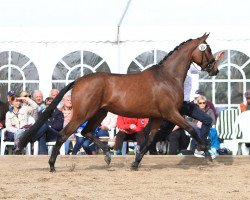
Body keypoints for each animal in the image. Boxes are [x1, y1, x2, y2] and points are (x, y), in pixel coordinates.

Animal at [16, 33, 219, 172]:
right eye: (208, 49)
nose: (215, 70)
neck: (167, 77)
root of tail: (79, 80)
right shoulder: (171, 113)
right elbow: (192, 129)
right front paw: (207, 154)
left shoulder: (157, 117)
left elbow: (149, 140)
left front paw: (135, 163)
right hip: (83, 113)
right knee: (64, 135)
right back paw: (52, 166)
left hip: (100, 113)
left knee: (87, 132)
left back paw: (107, 155)